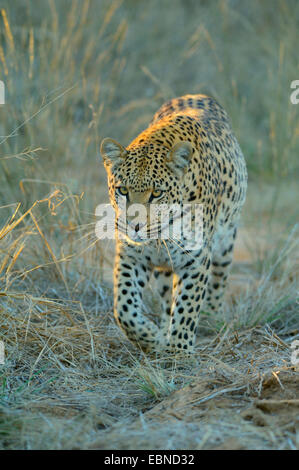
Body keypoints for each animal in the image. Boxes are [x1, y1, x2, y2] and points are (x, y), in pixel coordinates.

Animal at [99, 93, 247, 354]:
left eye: (157, 193)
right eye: (123, 190)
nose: (134, 227)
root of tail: (197, 94)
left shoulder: (196, 258)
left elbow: (187, 306)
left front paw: (179, 351)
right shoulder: (131, 254)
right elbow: (124, 307)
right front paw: (152, 338)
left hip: (226, 241)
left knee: (219, 279)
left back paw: (212, 318)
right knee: (167, 295)